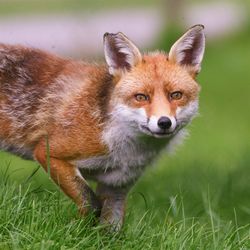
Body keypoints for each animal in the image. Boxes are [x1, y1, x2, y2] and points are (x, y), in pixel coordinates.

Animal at [0, 24, 205, 229]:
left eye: (176, 95)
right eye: (141, 97)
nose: (164, 122)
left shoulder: (117, 185)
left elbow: (111, 227)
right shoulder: (49, 153)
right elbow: (90, 203)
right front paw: (74, 228)